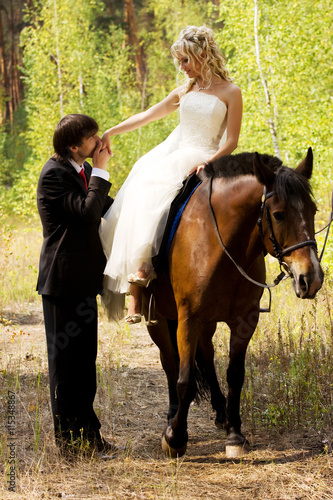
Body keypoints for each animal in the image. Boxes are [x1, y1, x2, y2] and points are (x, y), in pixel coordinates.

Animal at [142, 148, 322, 458]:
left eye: (313, 210)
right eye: (278, 214)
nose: (310, 278)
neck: (220, 245)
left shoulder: (244, 320)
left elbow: (235, 374)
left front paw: (235, 433)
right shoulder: (188, 319)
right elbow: (184, 379)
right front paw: (175, 437)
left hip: (207, 323)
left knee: (206, 355)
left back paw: (220, 411)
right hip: (160, 320)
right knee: (169, 363)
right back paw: (173, 413)